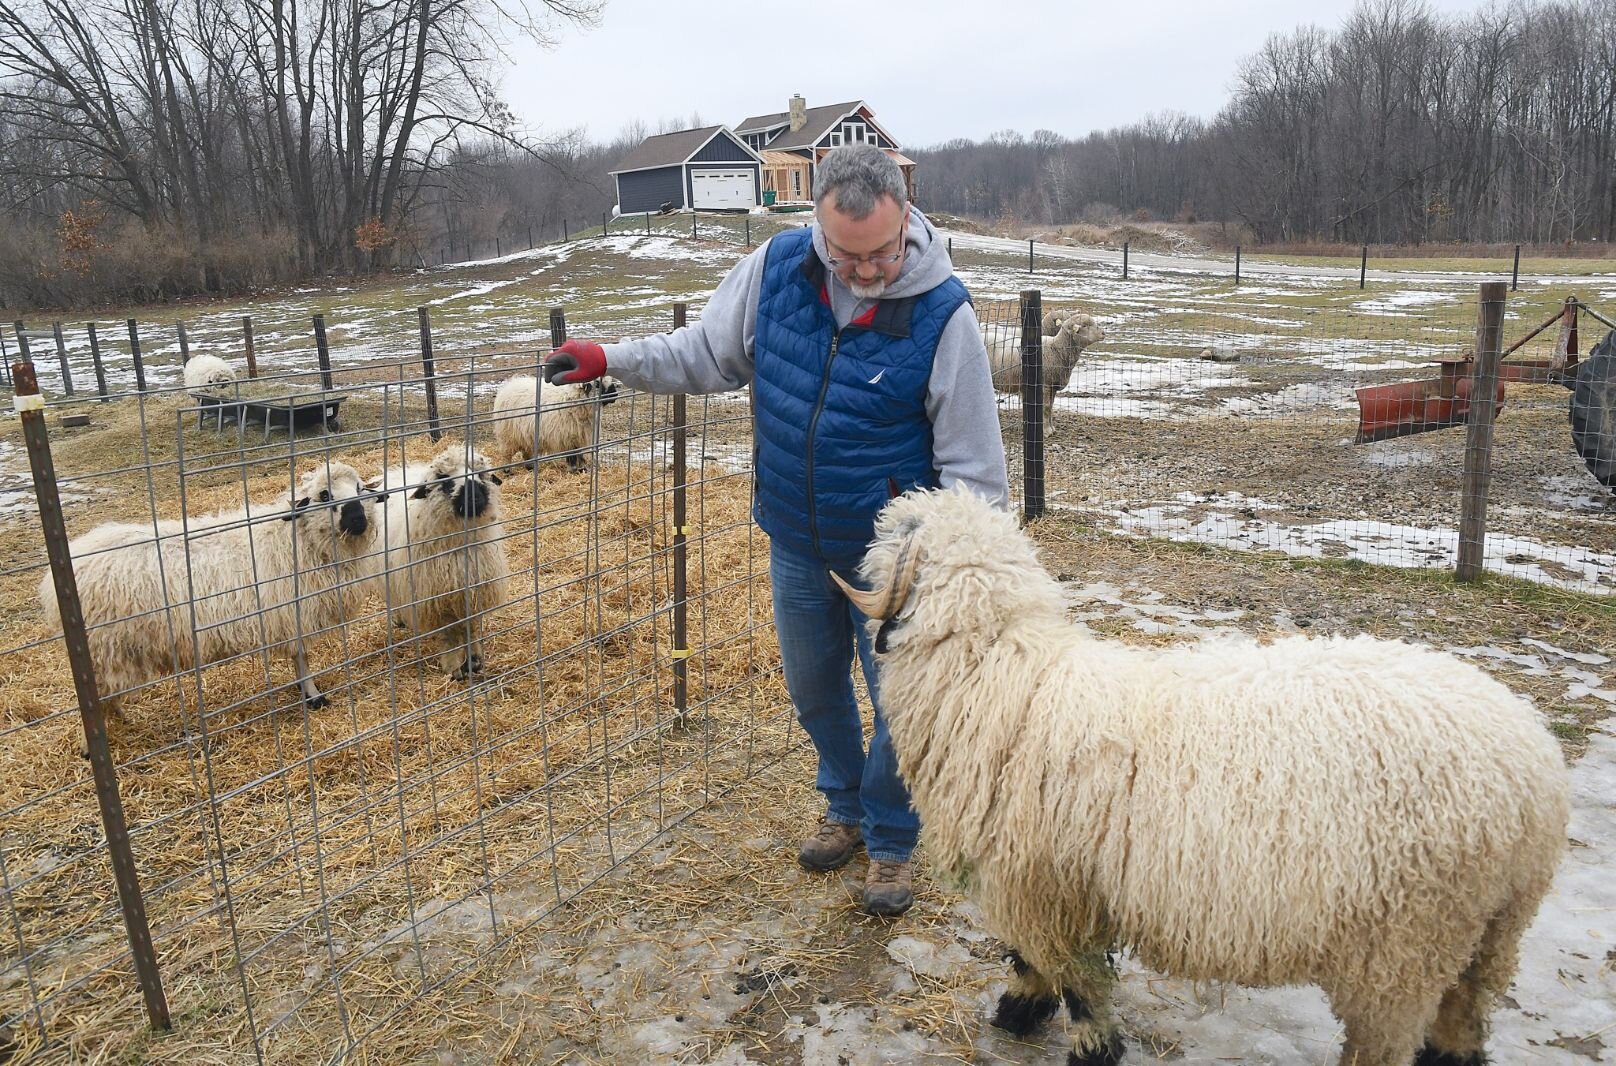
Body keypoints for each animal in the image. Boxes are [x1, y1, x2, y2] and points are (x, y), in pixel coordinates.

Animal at [40, 461, 381, 710]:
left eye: (360, 488)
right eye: (324, 495)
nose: (358, 519)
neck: (297, 541)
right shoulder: (292, 615)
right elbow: (303, 659)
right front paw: (313, 696)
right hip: (104, 649)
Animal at [376, 442, 507, 678]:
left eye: (481, 473)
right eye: (443, 477)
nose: (473, 495)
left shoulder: (474, 592)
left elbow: (472, 628)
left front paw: (475, 661)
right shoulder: (439, 600)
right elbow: (450, 637)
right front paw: (455, 668)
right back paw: (398, 619)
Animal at [484, 376, 617, 471]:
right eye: (597, 384)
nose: (615, 394)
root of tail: (509, 385)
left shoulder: (579, 436)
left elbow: (580, 454)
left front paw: (582, 468)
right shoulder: (569, 437)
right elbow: (572, 456)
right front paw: (573, 470)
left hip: (526, 434)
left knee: (526, 450)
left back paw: (530, 467)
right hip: (507, 434)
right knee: (507, 454)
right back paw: (507, 470)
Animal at [840, 484, 1570, 1066]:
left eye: (895, 532)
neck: (1000, 677)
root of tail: (1537, 773)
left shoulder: (1047, 884)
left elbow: (1076, 982)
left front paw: (1079, 1042)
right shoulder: (1058, 887)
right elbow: (1034, 958)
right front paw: (1023, 1010)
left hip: (1404, 946)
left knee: (1386, 1041)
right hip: (1487, 934)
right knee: (1462, 1025)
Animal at [976, 310, 1105, 426]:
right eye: (1085, 326)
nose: (1103, 333)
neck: (1056, 348)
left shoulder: (1053, 385)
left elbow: (1051, 407)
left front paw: (1051, 428)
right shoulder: (1044, 385)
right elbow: (1046, 407)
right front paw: (1046, 430)